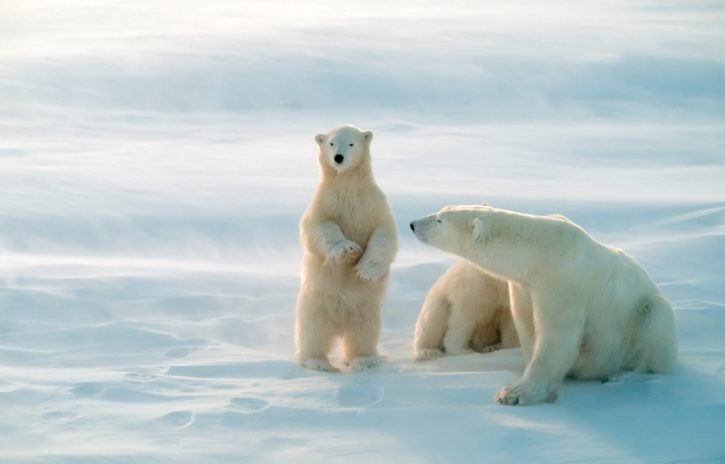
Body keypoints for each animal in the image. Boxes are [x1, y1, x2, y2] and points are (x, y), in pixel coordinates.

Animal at [295, 125, 398, 372]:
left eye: (351, 143)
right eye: (331, 143)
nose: (338, 158)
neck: (348, 186)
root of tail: (340, 324)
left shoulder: (372, 204)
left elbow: (384, 234)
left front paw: (366, 270)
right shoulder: (325, 203)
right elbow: (320, 227)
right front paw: (347, 250)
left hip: (367, 309)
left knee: (363, 333)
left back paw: (366, 360)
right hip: (314, 305)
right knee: (313, 333)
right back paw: (318, 362)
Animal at [410, 204, 677, 405]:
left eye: (440, 219)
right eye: (441, 210)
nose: (412, 223)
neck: (539, 252)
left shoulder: (561, 282)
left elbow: (557, 335)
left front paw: (516, 393)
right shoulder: (524, 286)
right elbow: (526, 325)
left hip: (644, 311)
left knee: (655, 329)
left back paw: (620, 375)